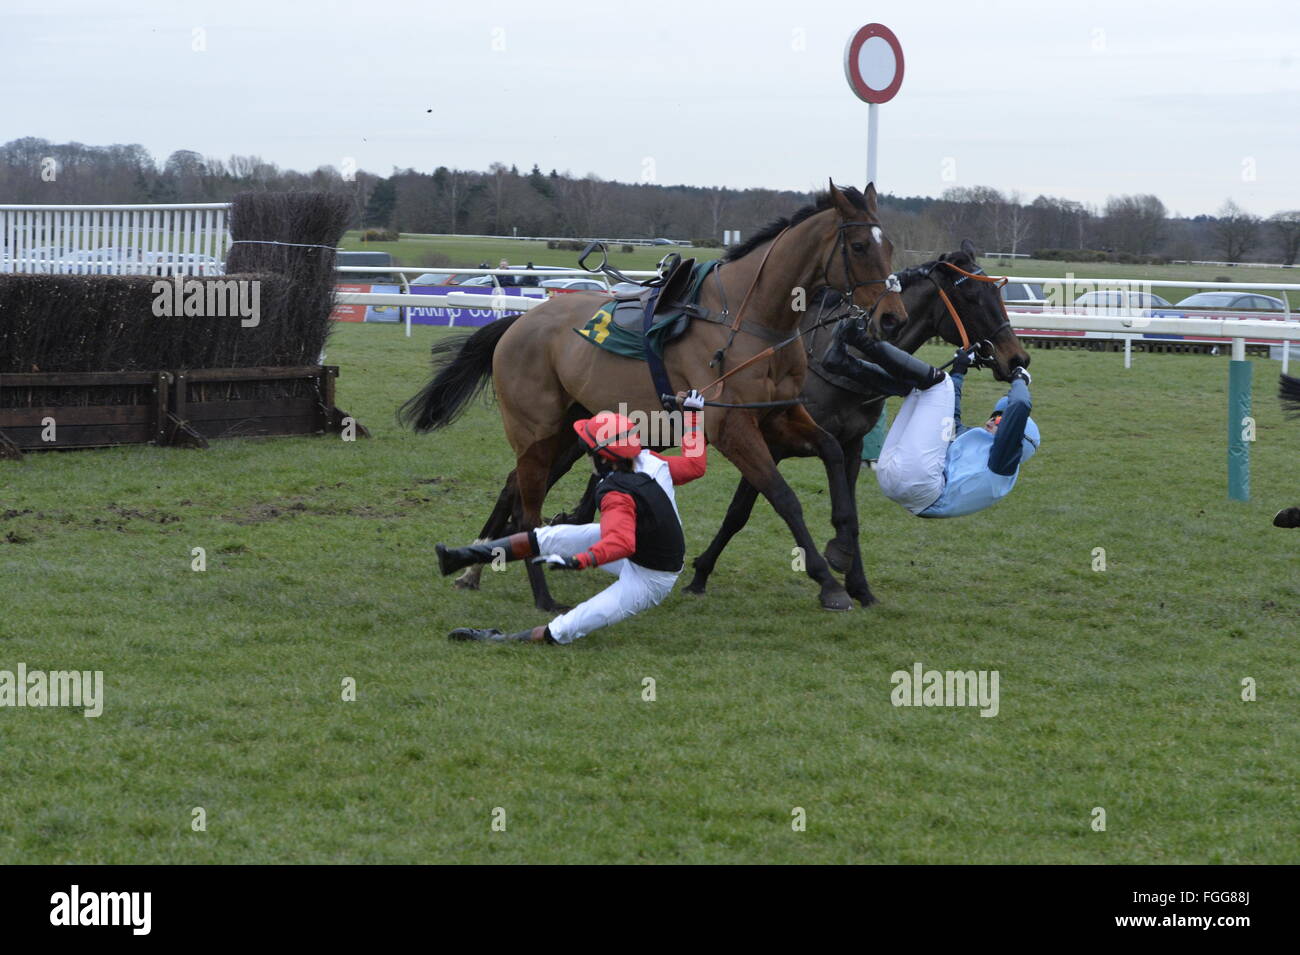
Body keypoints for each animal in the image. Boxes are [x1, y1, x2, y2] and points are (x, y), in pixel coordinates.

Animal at [403, 181, 904, 608]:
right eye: (859, 247)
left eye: (891, 246)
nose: (892, 318)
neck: (752, 320)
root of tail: (518, 322)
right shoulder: (733, 426)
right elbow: (783, 497)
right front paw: (827, 582)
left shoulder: (780, 413)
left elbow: (833, 453)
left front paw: (843, 550)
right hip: (535, 432)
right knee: (528, 508)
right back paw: (539, 596)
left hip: (565, 431)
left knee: (514, 489)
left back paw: (479, 567)